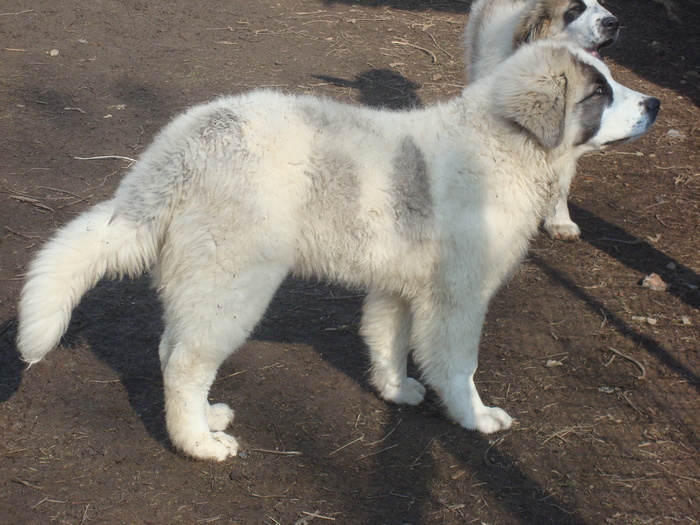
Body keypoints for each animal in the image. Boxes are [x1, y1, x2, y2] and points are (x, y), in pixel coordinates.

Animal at [17, 40, 660, 458]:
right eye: (600, 94)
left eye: (611, 82)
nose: (654, 104)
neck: (503, 145)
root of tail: (184, 144)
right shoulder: (458, 297)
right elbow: (459, 366)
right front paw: (475, 417)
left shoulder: (403, 286)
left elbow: (387, 339)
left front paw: (394, 389)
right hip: (233, 283)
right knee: (183, 363)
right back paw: (198, 443)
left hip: (207, 283)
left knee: (170, 348)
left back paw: (206, 418)